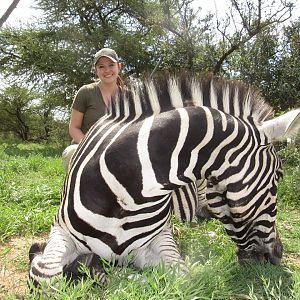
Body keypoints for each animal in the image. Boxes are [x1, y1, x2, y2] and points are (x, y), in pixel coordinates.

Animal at [28, 72, 300, 284]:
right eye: (279, 176)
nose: (278, 253)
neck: (130, 191)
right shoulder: (60, 230)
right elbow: (45, 273)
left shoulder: (157, 240)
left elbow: (178, 275)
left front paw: (101, 270)